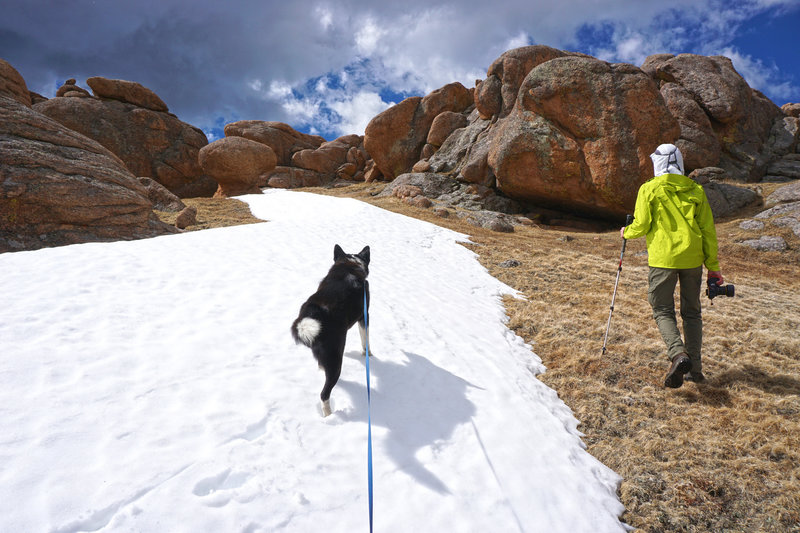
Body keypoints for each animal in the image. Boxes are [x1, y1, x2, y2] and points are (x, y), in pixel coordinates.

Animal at [290, 244, 372, 416]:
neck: (349, 264)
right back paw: (329, 415)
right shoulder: (364, 315)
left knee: (322, 369)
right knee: (324, 394)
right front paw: (368, 355)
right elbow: (365, 340)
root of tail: (311, 315)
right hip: (335, 360)